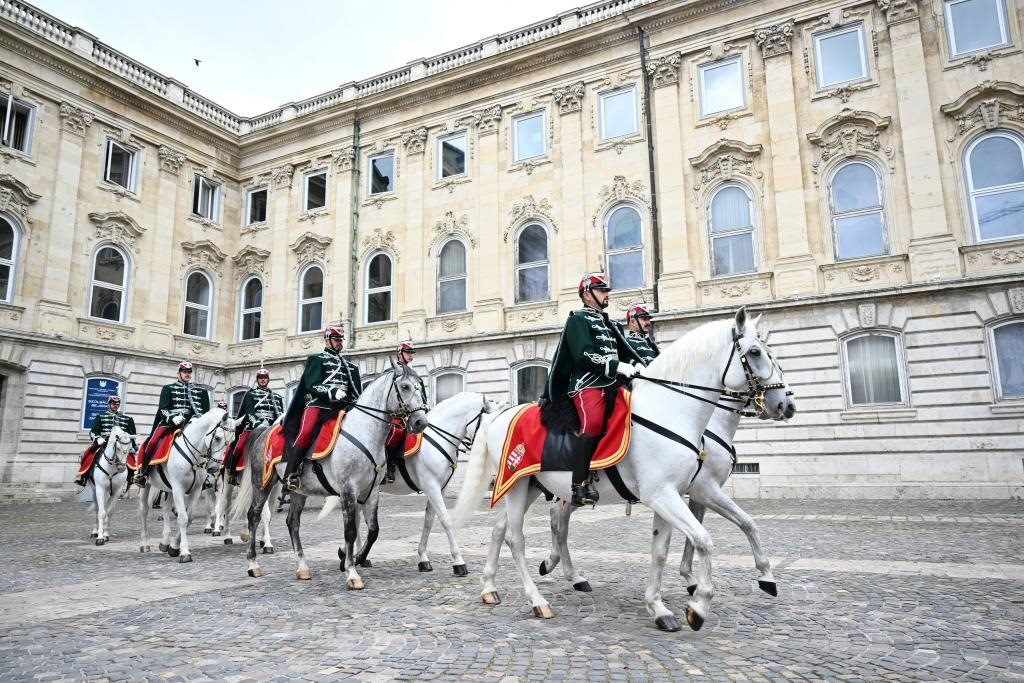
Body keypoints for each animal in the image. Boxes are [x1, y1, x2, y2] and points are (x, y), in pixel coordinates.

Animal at [137, 407, 235, 562]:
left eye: (232, 442)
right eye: (218, 438)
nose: (215, 468)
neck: (193, 455)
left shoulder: (195, 490)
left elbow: (189, 518)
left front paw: (174, 547)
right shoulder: (178, 488)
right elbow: (183, 518)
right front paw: (184, 552)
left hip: (169, 489)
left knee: (165, 509)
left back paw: (165, 542)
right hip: (146, 486)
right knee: (144, 510)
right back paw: (144, 543)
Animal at [231, 361, 429, 588]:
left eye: (420, 386)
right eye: (405, 386)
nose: (421, 422)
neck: (365, 432)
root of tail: (263, 431)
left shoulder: (371, 492)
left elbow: (373, 530)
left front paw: (354, 559)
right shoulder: (347, 490)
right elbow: (350, 531)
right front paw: (351, 572)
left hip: (298, 490)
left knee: (292, 522)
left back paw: (302, 567)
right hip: (262, 483)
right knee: (254, 516)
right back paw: (253, 564)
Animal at [318, 391, 499, 574]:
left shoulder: (440, 489)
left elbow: (428, 522)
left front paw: (423, 558)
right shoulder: (431, 487)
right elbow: (446, 520)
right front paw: (459, 562)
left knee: (357, 517)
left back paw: (355, 555)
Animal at [451, 307, 780, 631]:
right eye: (754, 352)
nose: (783, 403)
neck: (670, 410)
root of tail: (501, 415)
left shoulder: (676, 494)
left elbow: (665, 550)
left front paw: (659, 607)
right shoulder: (672, 494)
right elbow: (703, 540)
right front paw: (698, 604)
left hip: (530, 487)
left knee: (505, 529)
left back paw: (491, 587)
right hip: (517, 486)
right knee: (517, 538)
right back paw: (537, 600)